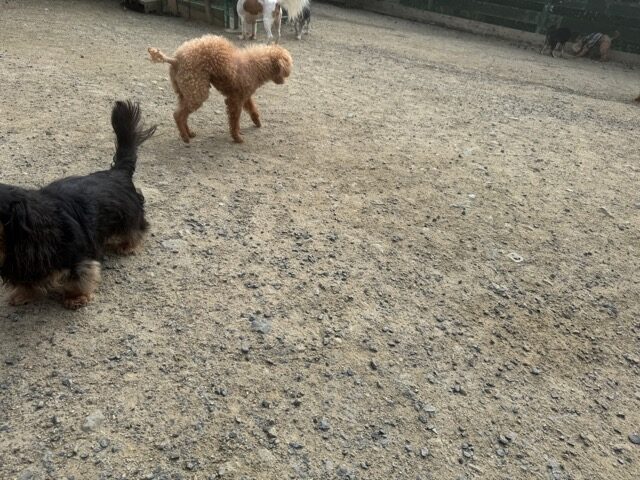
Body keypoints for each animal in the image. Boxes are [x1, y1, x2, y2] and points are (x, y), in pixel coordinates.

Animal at [0, 101, 155, 309]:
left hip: (129, 215)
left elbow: (79, 278)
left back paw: (128, 245)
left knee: (136, 229)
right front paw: (22, 294)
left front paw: (75, 298)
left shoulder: (78, 258)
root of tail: (117, 172)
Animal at [148, 35, 292, 144]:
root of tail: (175, 59)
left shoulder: (245, 96)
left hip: (185, 91)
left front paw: (257, 122)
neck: (255, 66)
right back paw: (185, 137)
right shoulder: (235, 100)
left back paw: (189, 133)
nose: (286, 79)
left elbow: (252, 109)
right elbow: (234, 120)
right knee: (178, 114)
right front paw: (237, 137)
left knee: (183, 114)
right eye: (287, 67)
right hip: (197, 91)